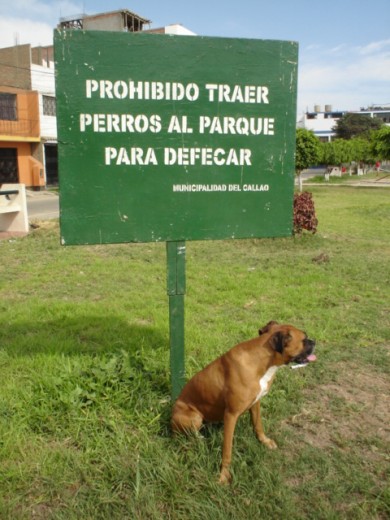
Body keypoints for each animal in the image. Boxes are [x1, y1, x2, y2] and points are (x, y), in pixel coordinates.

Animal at [171, 320, 316, 484]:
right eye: (304, 339)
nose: (314, 341)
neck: (262, 361)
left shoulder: (255, 404)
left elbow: (258, 425)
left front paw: (264, 441)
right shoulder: (231, 415)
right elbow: (227, 450)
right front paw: (224, 475)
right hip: (194, 417)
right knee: (189, 433)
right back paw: (199, 440)